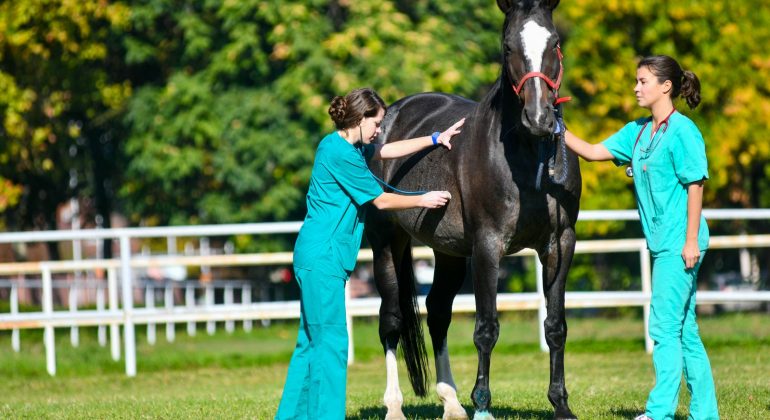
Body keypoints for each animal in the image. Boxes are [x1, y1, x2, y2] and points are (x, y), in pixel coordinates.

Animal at [364, 1, 576, 418]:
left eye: (554, 42)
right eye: (508, 47)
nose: (539, 118)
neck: (529, 158)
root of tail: (389, 118)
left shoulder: (560, 245)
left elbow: (556, 325)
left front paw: (561, 404)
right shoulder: (487, 247)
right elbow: (486, 328)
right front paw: (483, 406)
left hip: (447, 251)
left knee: (437, 312)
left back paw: (451, 402)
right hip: (386, 242)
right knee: (391, 319)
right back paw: (395, 405)